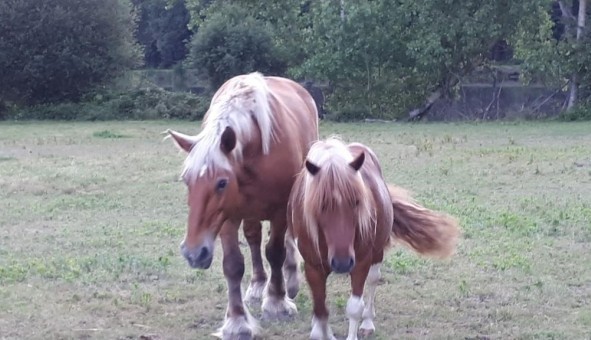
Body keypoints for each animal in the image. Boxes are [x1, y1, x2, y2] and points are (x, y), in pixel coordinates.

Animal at [166, 73, 320, 338]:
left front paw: (276, 302)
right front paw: (236, 321)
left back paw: (290, 279)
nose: (193, 253)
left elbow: (275, 252)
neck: (255, 149)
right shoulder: (228, 215)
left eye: (221, 182)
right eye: (186, 180)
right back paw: (258, 285)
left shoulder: (280, 209)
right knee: (253, 237)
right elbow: (233, 265)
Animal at [290, 138, 460, 340]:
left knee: (373, 280)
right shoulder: (313, 267)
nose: (342, 262)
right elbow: (320, 310)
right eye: (320, 205)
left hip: (376, 253)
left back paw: (367, 322)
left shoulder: (361, 262)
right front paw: (320, 330)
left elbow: (355, 307)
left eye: (356, 201)